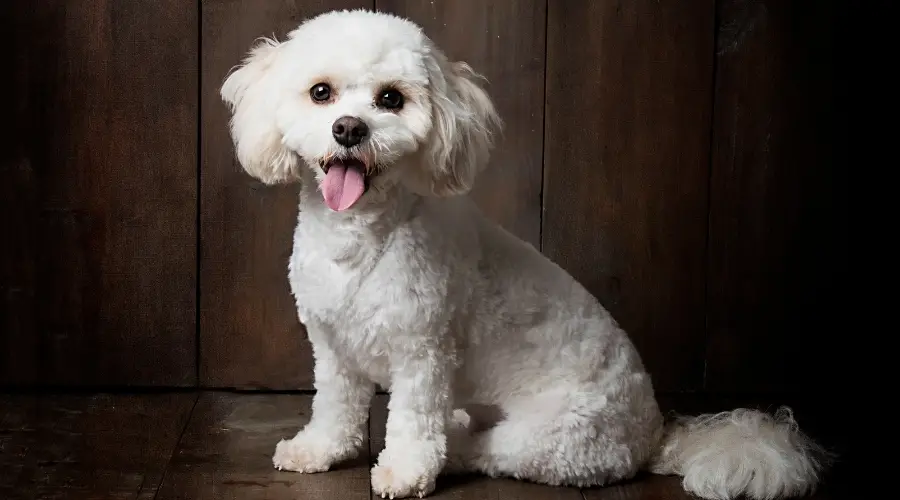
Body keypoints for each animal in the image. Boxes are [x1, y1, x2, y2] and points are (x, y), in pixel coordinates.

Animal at [221, 8, 832, 500]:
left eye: (390, 98)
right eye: (320, 92)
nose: (349, 129)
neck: (363, 236)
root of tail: (655, 434)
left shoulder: (423, 353)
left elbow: (414, 421)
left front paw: (403, 473)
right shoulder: (332, 347)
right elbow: (335, 408)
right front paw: (319, 450)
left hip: (549, 437)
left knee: (486, 450)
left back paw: (454, 451)